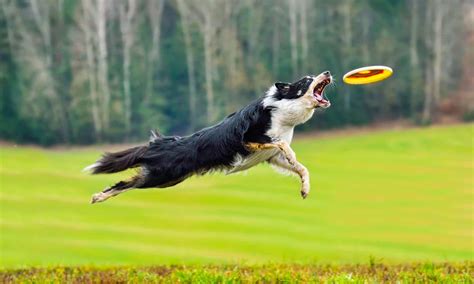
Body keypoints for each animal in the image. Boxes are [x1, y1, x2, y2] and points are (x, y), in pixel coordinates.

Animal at [85, 71, 334, 204]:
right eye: (306, 81)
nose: (328, 73)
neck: (283, 112)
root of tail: (158, 143)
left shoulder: (271, 157)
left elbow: (301, 169)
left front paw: (305, 189)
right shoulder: (249, 140)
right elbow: (283, 144)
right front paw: (292, 156)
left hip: (170, 179)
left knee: (130, 183)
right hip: (161, 176)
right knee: (125, 182)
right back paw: (98, 196)